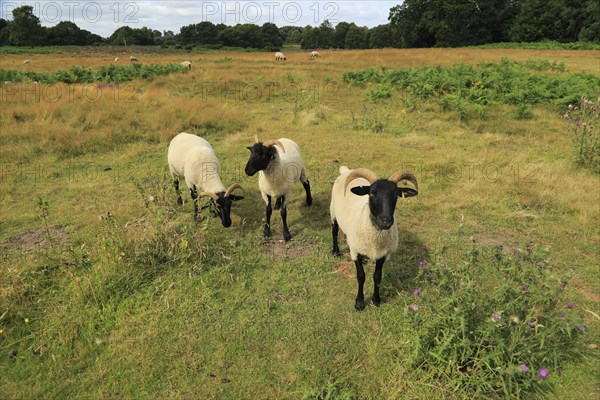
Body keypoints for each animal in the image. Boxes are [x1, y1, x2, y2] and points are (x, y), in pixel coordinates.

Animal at [330, 166, 420, 310]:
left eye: (396, 195)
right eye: (372, 193)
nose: (386, 221)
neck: (375, 240)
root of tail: (346, 170)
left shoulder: (384, 254)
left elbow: (377, 277)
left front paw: (376, 300)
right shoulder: (354, 251)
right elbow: (361, 277)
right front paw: (359, 303)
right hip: (333, 211)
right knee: (334, 230)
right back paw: (335, 251)